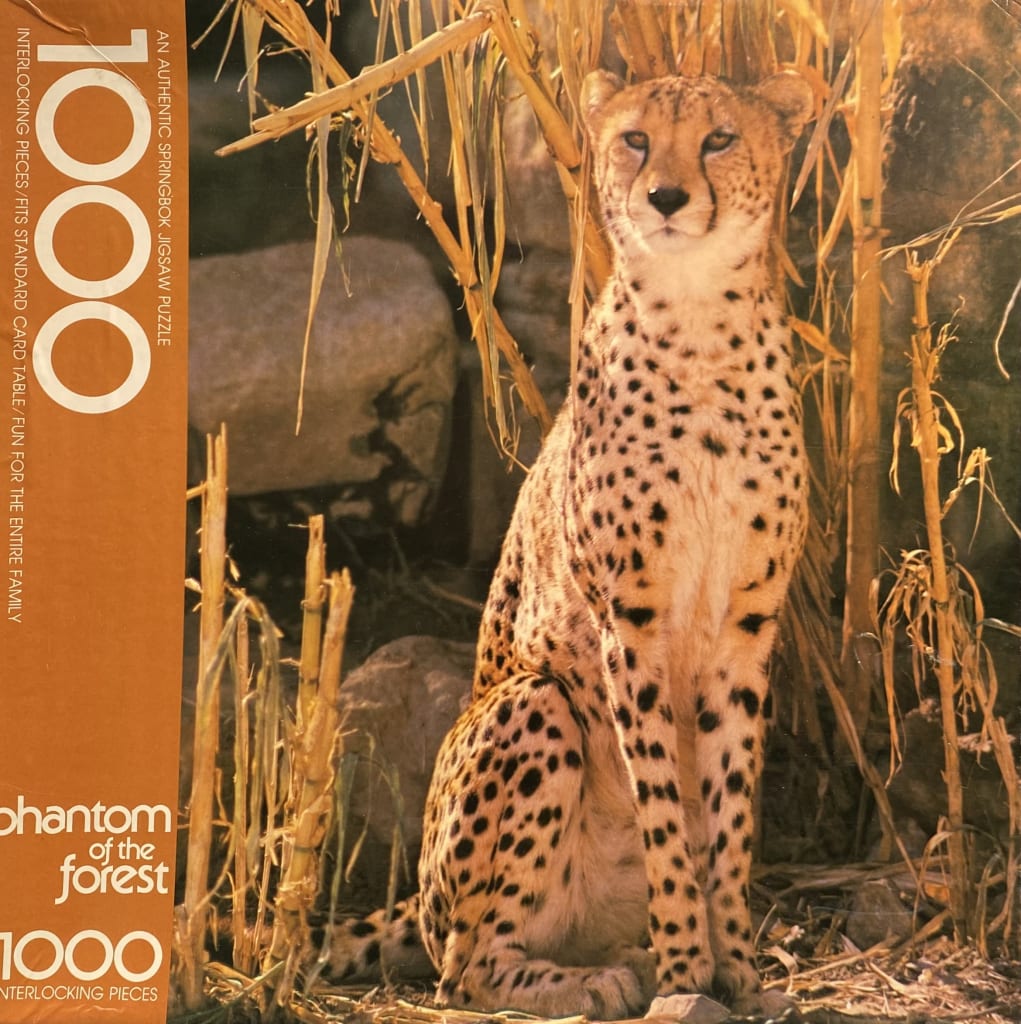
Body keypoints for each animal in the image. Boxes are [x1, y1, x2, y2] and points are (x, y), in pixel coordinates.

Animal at [322, 68, 814, 1021]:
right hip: (533, 702)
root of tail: (416, 893)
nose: (665, 197)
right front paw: (687, 965)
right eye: (633, 139)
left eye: (719, 139)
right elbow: (664, 808)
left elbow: (726, 812)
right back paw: (597, 980)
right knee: (461, 966)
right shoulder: (629, 621)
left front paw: (736, 964)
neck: (700, 321)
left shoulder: (745, 626)